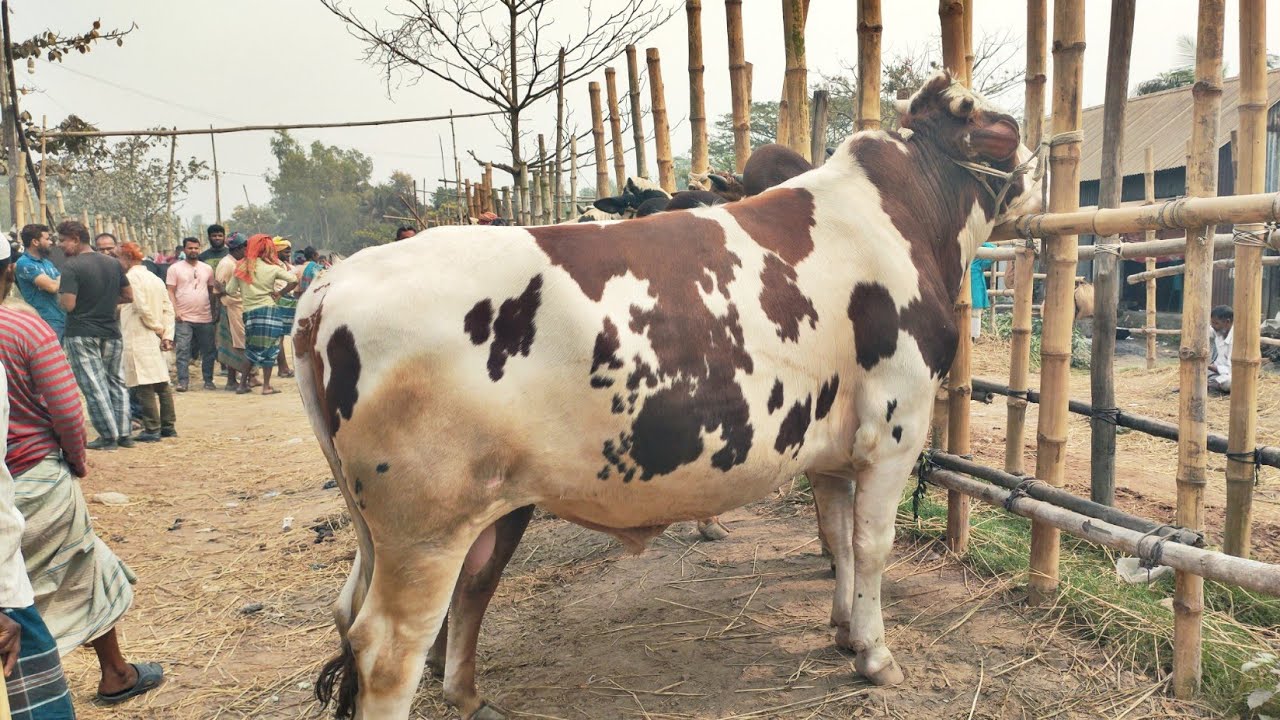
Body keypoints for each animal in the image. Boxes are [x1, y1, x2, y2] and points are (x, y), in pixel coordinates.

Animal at [299, 70, 1040, 720]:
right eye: (1003, 126)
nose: (1039, 170)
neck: (901, 217)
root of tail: (334, 283)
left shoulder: (832, 444)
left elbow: (837, 534)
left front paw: (843, 631)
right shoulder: (894, 424)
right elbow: (872, 543)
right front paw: (876, 657)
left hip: (414, 523)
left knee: (381, 602)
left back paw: (469, 694)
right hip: (426, 529)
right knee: (387, 651)